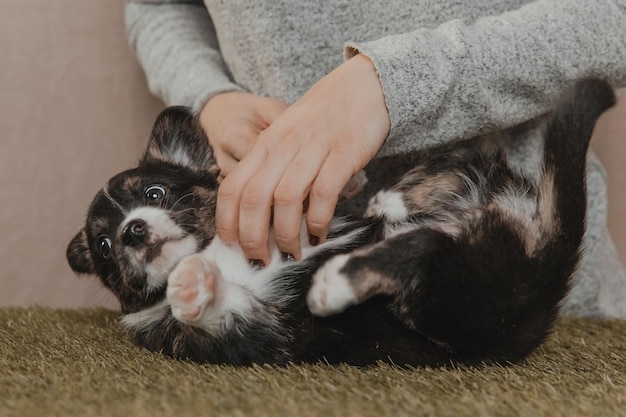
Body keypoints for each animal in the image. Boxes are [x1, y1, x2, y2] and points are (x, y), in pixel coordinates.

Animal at [67, 78, 608, 364]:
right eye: (104, 247)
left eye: (154, 193)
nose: (132, 230)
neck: (214, 249)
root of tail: (550, 265)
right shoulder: (244, 336)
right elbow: (213, 312)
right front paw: (189, 284)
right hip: (460, 298)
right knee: (427, 248)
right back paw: (338, 280)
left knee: (458, 172)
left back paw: (388, 204)